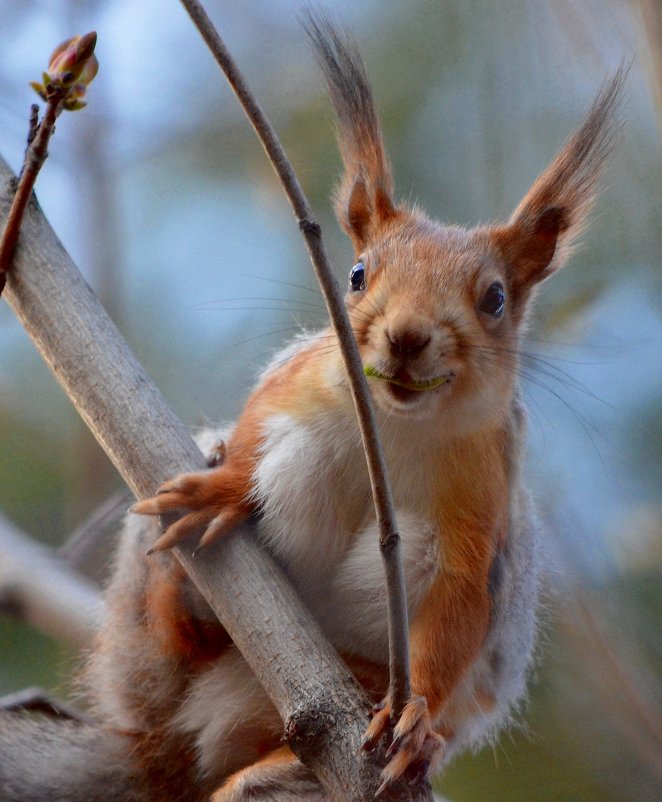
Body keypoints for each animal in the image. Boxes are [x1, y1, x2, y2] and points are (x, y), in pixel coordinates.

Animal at [0, 10, 624, 800]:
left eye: (494, 299)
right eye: (356, 275)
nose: (407, 337)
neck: (397, 425)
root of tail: (169, 761)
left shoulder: (480, 496)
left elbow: (458, 603)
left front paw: (417, 716)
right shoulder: (294, 385)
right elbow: (253, 433)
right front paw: (223, 488)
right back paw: (182, 593)